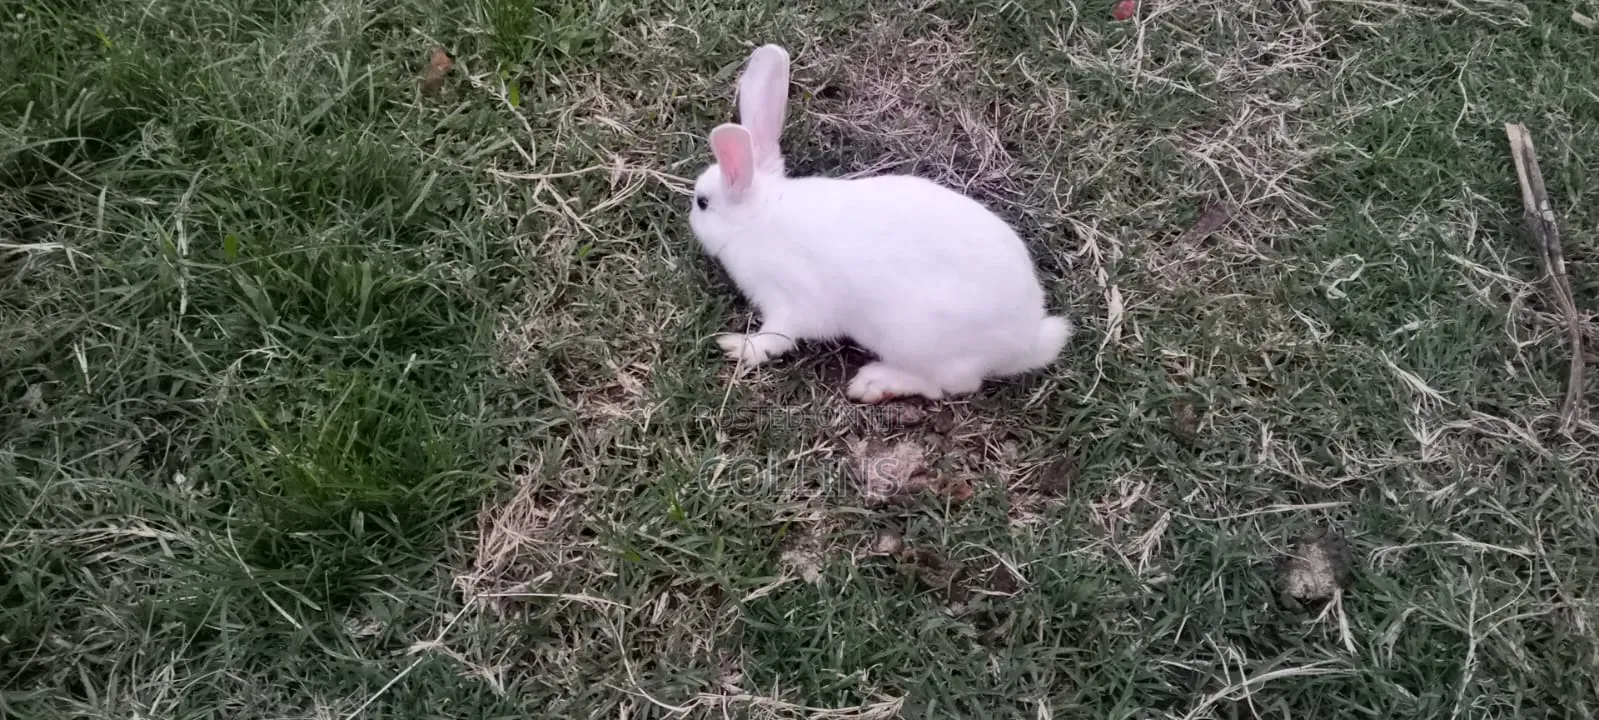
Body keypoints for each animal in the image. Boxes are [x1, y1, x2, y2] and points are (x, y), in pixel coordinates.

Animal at [688, 43, 1071, 404]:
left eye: (702, 203)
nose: (691, 217)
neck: (757, 218)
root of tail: (1027, 342)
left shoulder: (789, 301)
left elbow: (776, 337)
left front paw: (736, 346)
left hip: (916, 340)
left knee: (950, 386)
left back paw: (875, 383)